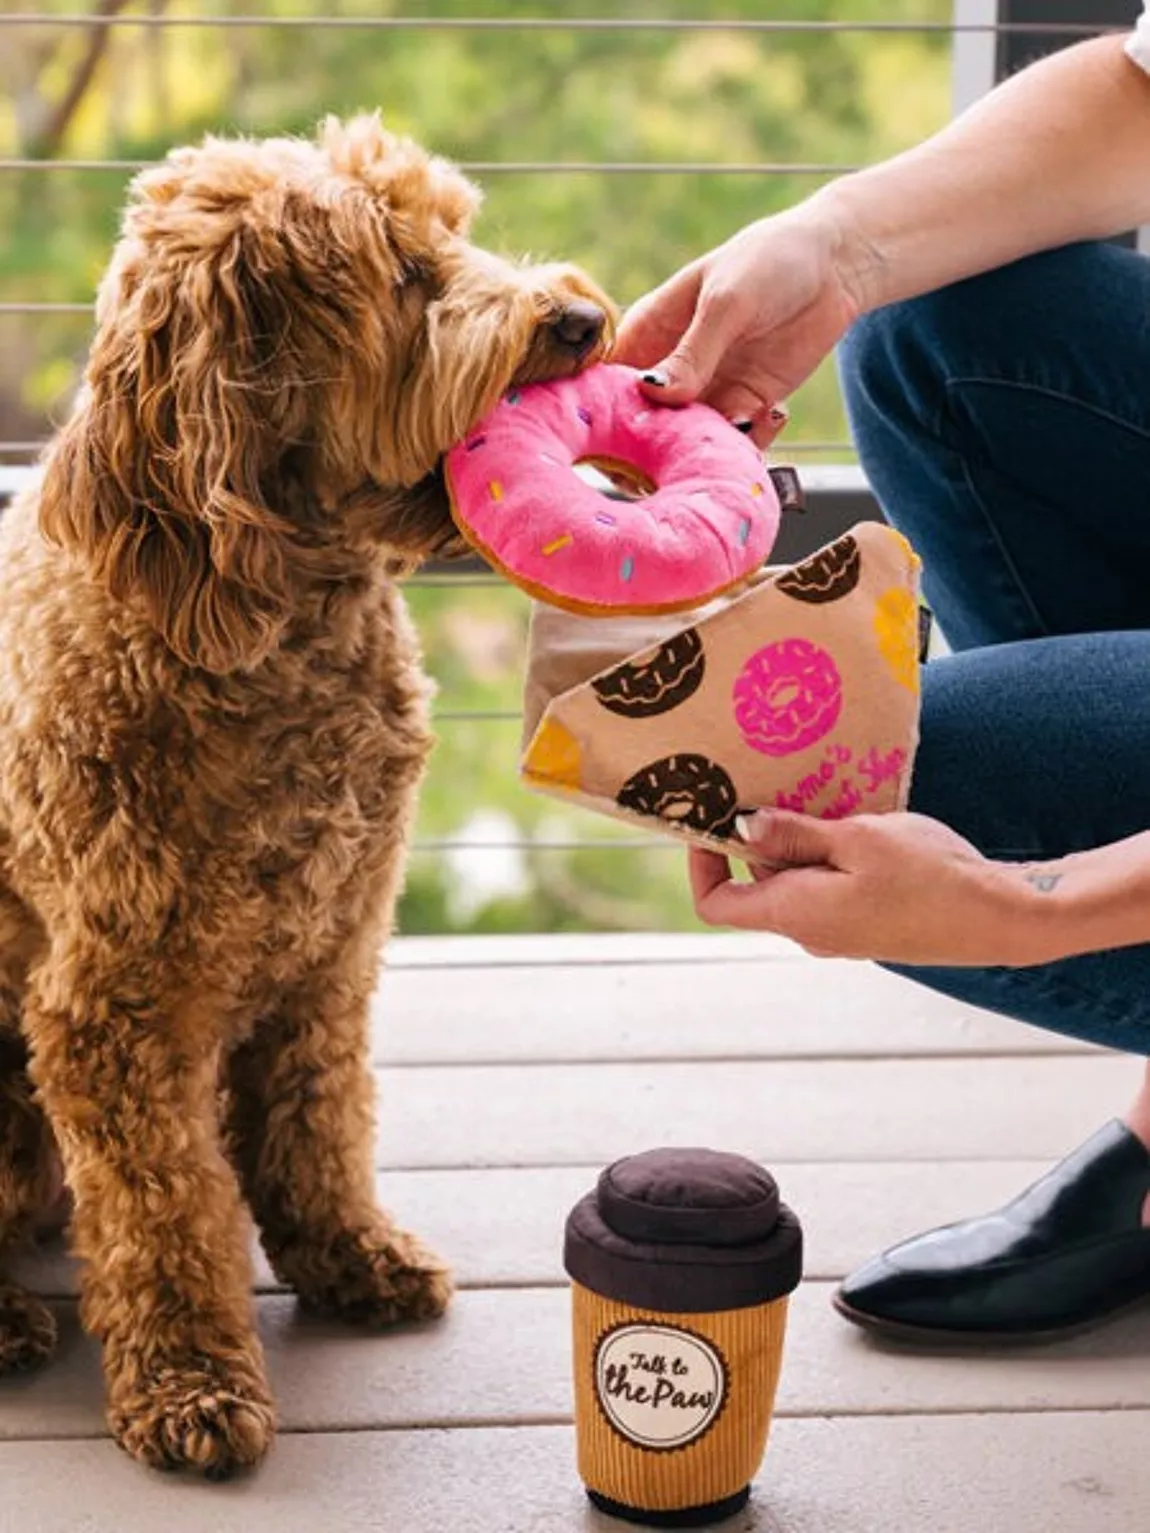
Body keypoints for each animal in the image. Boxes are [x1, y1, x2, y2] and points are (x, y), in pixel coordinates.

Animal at [0, 113, 613, 1477]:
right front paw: (189, 1378)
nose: (579, 318)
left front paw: (347, 1256)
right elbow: (167, 1209)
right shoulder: (115, 1010)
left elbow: (317, 1121)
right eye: (403, 276)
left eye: (455, 229)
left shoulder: (331, 949)